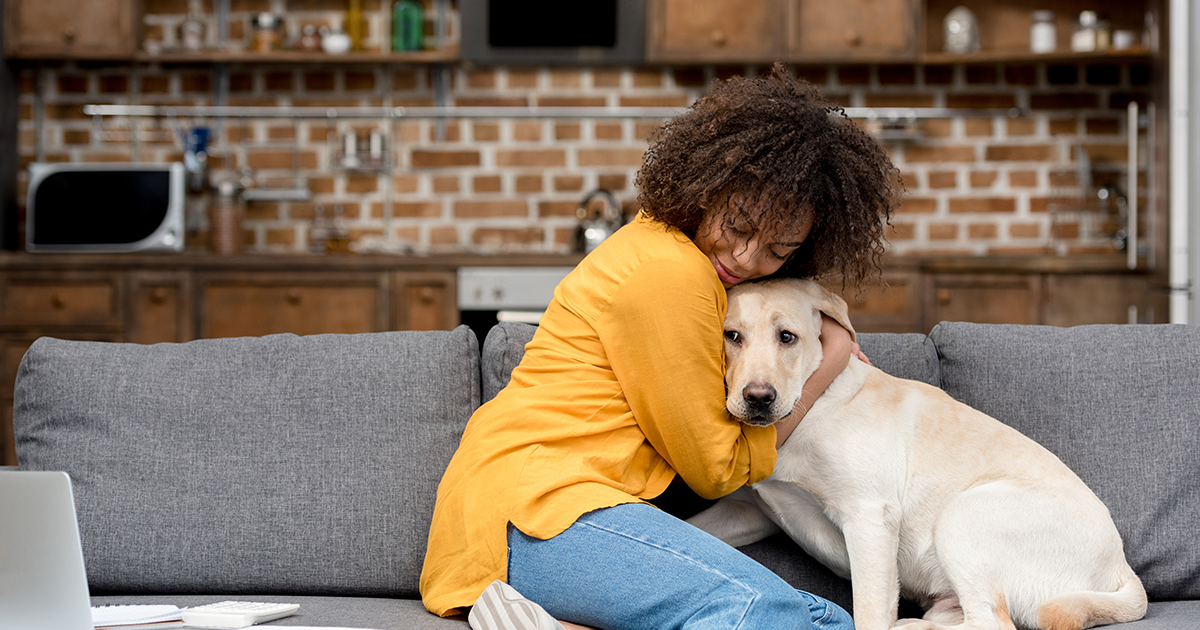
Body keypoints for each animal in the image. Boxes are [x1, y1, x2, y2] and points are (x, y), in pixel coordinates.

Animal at [686, 278, 1142, 628]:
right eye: (731, 336)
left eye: (787, 338)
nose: (758, 399)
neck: (809, 407)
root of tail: (1121, 568)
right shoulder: (747, 511)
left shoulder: (869, 518)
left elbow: (870, 614)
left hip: (961, 516)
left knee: (993, 622)